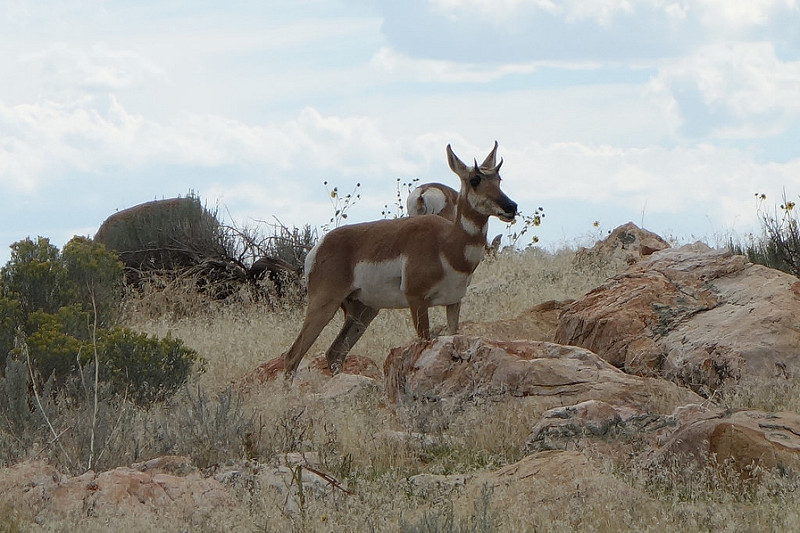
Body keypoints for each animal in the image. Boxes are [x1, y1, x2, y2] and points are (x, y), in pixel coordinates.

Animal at [282, 141, 520, 378]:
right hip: (324, 305)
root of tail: (319, 247)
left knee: (334, 352)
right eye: (475, 179)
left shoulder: (454, 302)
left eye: (499, 179)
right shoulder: (416, 300)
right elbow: (424, 341)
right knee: (293, 356)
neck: (446, 243)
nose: (511, 207)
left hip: (364, 311)